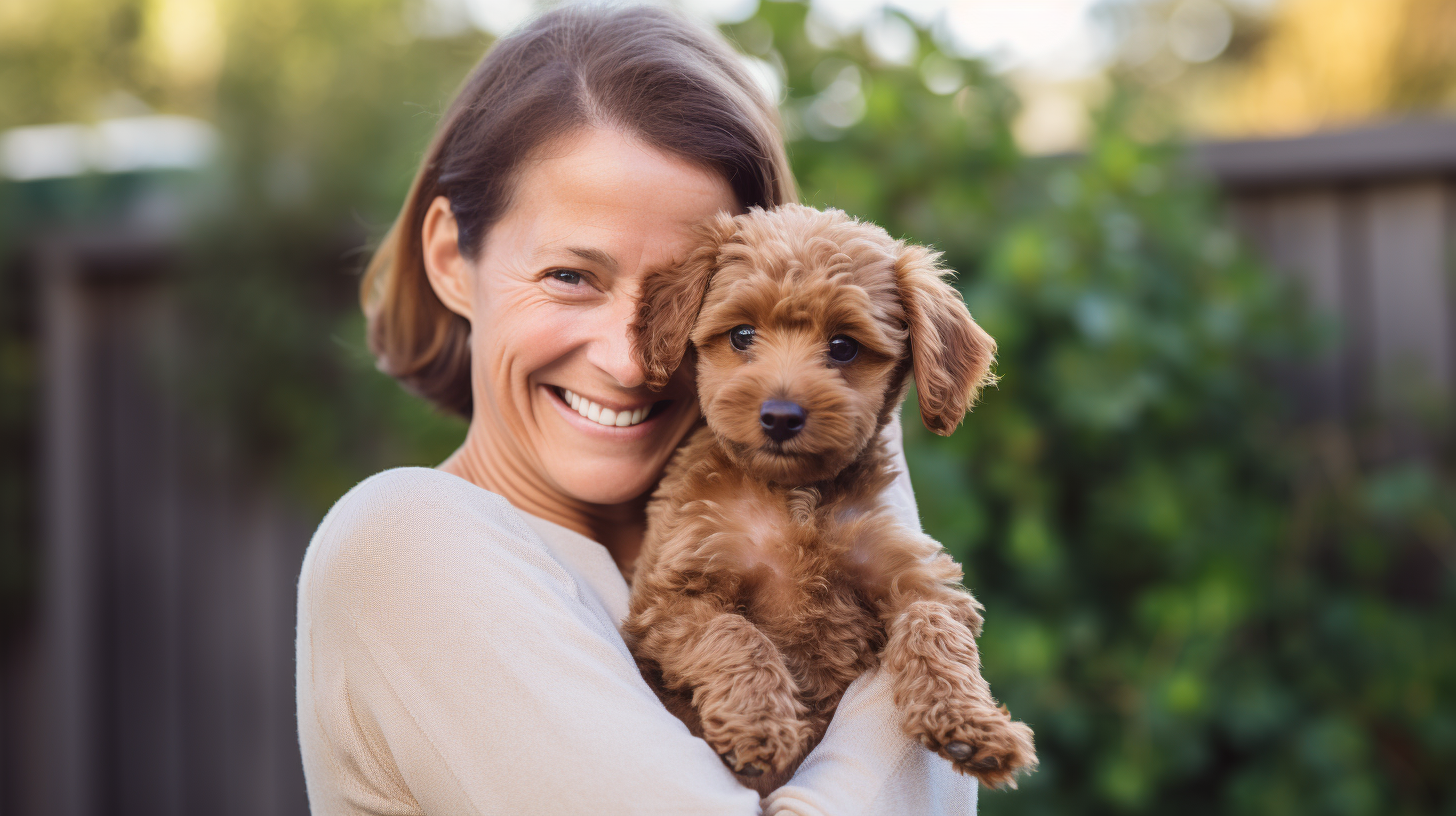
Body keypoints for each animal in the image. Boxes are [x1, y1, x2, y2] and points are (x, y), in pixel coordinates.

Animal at [623, 204, 1036, 798]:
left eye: (844, 347)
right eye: (742, 335)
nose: (780, 416)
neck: (795, 499)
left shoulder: (916, 575)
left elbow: (934, 625)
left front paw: (973, 726)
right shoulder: (670, 598)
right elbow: (736, 634)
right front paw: (762, 725)